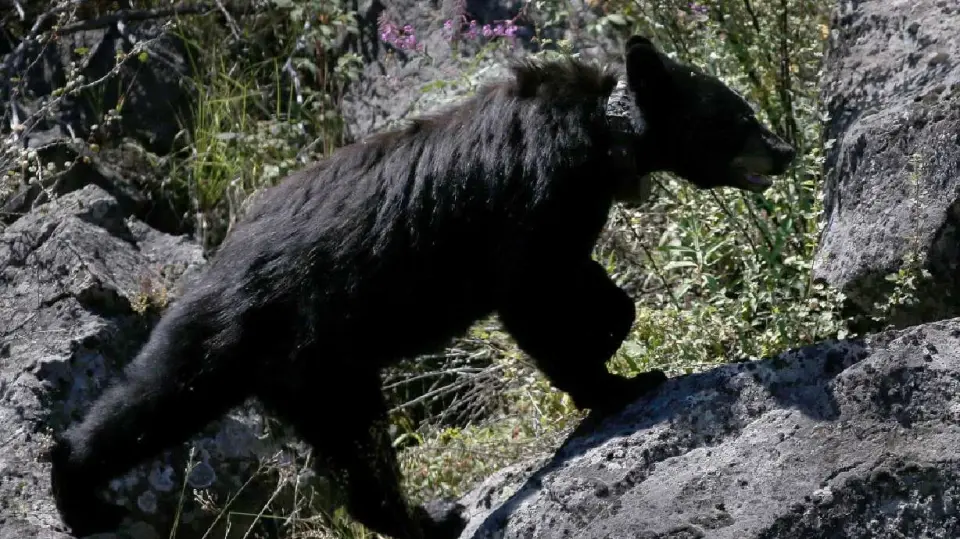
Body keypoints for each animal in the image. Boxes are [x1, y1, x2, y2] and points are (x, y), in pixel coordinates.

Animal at [49, 34, 796, 539]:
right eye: (741, 116)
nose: (788, 149)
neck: (600, 132)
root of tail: (215, 274)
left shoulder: (570, 215)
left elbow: (590, 283)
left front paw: (613, 338)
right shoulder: (535, 201)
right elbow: (534, 300)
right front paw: (615, 379)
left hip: (291, 365)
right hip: (301, 351)